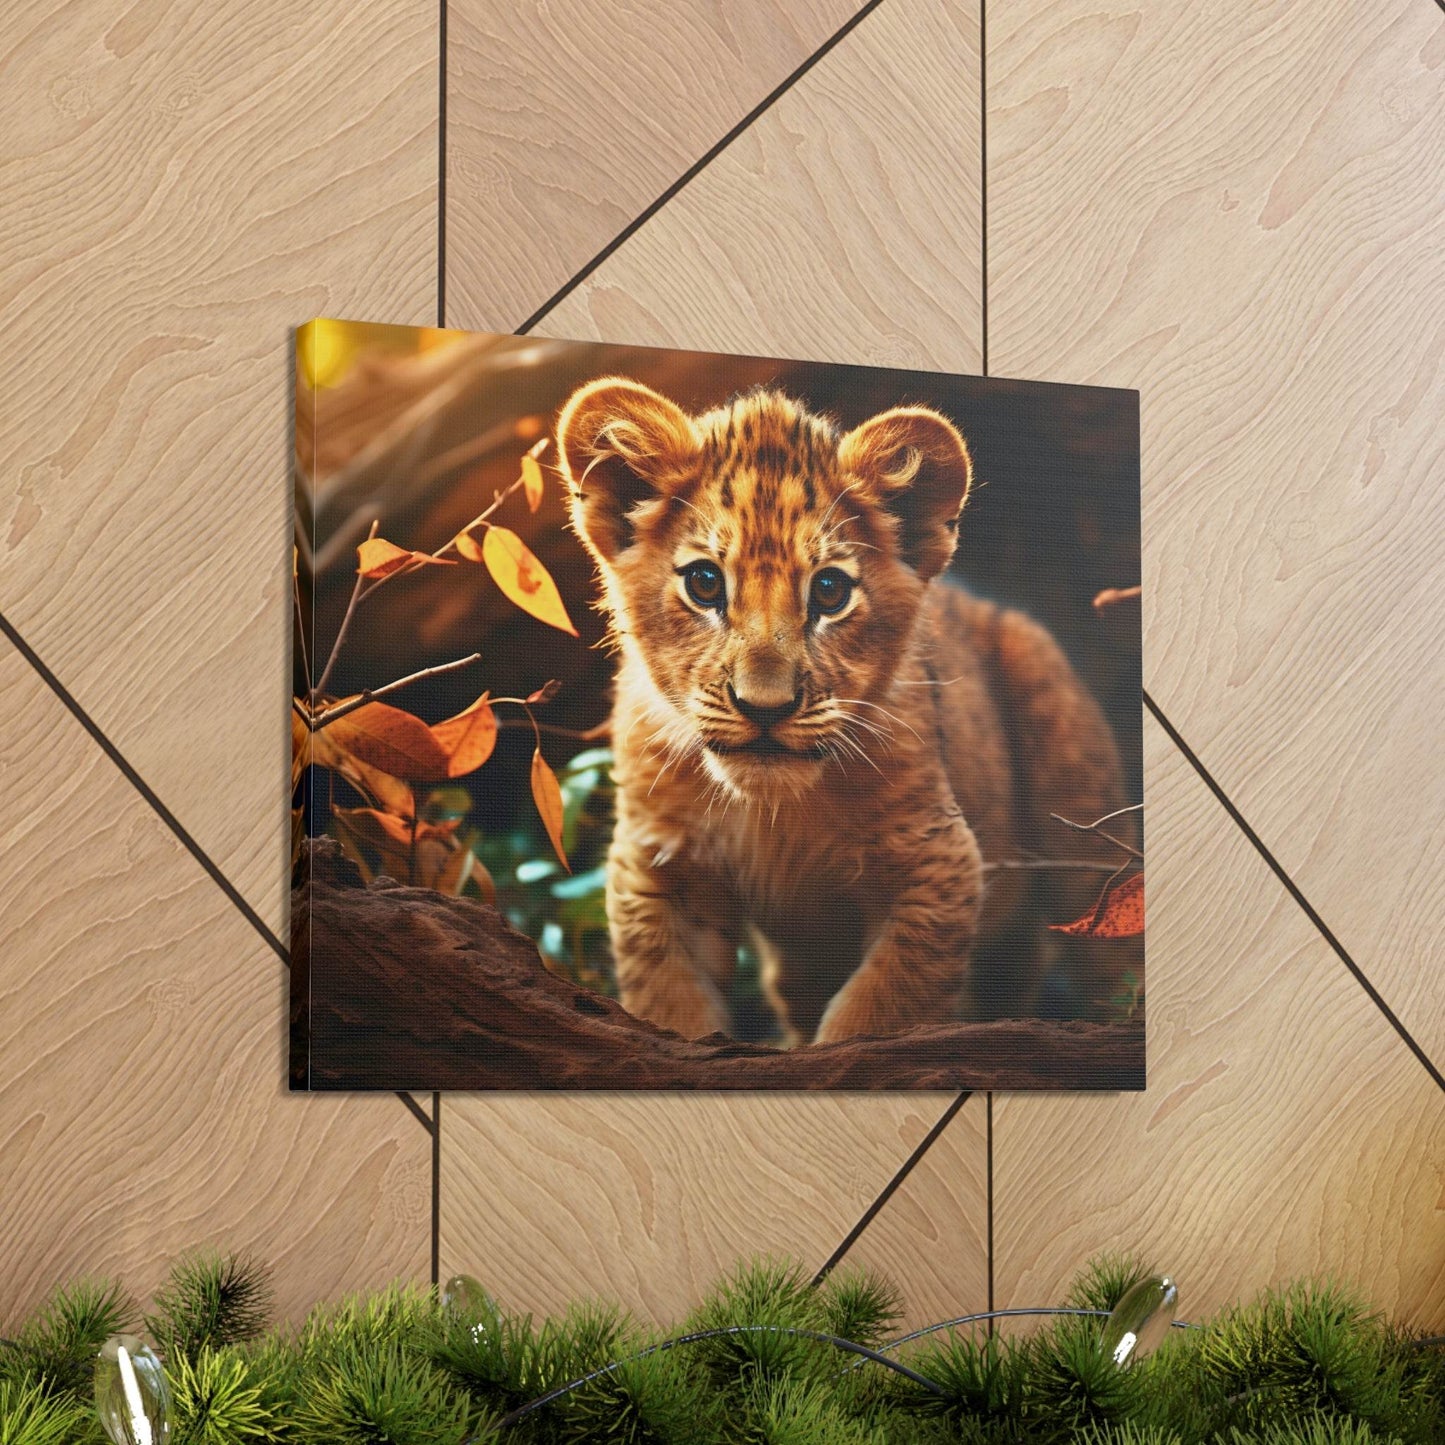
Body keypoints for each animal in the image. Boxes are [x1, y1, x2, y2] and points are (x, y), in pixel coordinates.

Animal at [556, 378, 1137, 1045]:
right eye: (704, 583)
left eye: (830, 591)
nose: (765, 708)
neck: (774, 814)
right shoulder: (658, 869)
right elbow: (673, 1008)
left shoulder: (937, 862)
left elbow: (875, 1011)